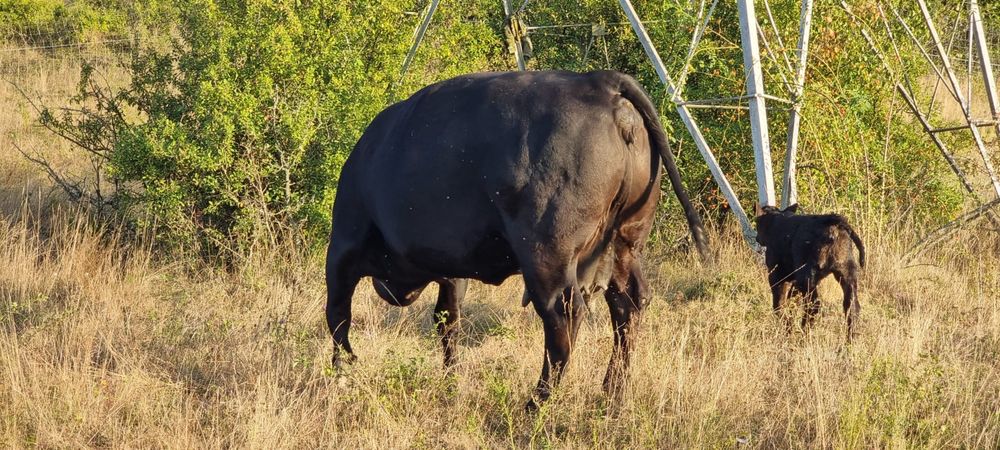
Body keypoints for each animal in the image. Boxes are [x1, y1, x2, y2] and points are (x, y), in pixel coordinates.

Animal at [325, 70, 710, 409]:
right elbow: (446, 322)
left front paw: (343, 372)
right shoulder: (452, 275)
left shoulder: (343, 248)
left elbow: (338, 316)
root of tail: (599, 82)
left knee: (563, 319)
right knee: (627, 305)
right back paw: (612, 393)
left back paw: (536, 402)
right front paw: (451, 379)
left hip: (547, 259)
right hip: (626, 244)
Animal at [754, 204, 865, 342]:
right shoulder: (795, 281)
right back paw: (850, 341)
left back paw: (804, 335)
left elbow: (779, 304)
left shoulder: (777, 275)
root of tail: (834, 223)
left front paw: (787, 329)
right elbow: (791, 302)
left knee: (813, 305)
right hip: (846, 274)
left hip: (808, 277)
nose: (757, 238)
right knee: (852, 306)